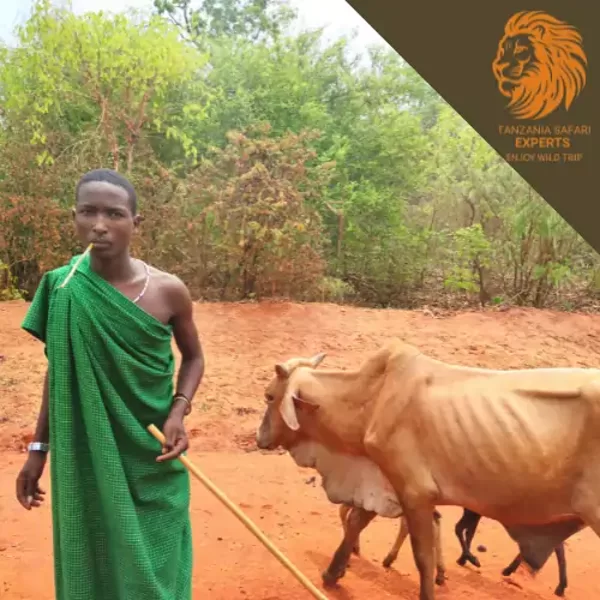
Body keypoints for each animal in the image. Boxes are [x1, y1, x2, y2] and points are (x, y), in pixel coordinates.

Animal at [255, 342, 592, 600]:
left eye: (269, 396)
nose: (259, 438)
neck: (371, 399)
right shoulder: (384, 481)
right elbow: (356, 522)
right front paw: (332, 573)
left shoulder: (414, 491)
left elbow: (422, 557)